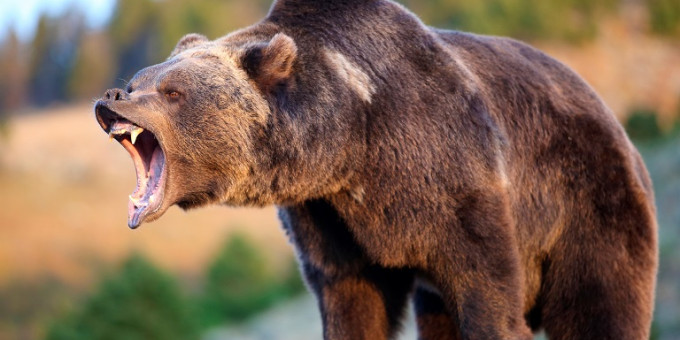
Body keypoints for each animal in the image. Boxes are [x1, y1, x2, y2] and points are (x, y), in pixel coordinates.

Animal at [93, 0, 656, 340]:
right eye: (140, 79)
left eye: (172, 91)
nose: (112, 96)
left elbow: (488, 292)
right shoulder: (330, 220)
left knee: (601, 304)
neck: (351, 146)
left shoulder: (456, 179)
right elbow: (352, 300)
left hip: (588, 205)